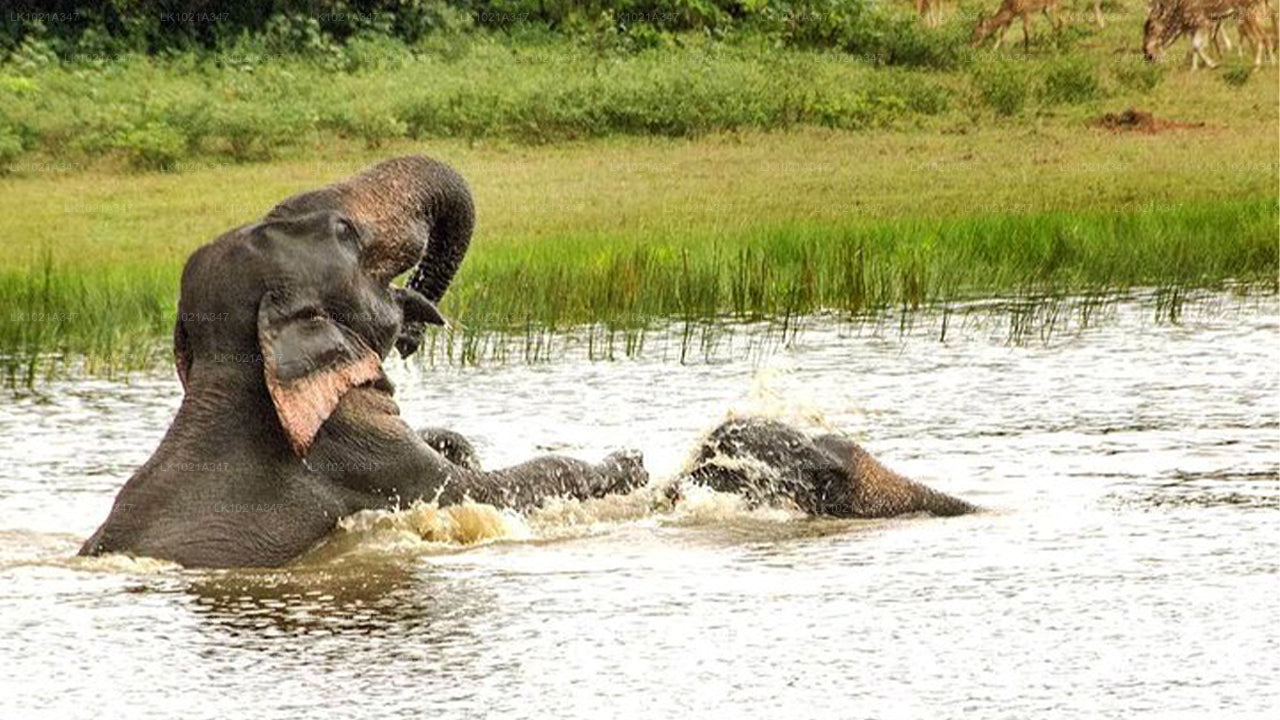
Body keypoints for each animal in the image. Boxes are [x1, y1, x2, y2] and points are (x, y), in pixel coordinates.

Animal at [77, 155, 650, 566]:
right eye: (346, 234)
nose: (412, 339)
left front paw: (462, 443)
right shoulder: (366, 462)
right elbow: (488, 491)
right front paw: (630, 463)